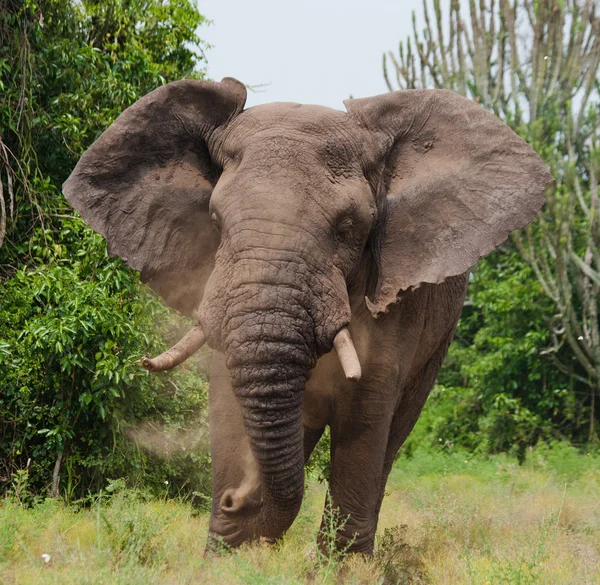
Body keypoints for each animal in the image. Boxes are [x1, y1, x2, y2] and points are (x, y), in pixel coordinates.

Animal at [62, 76, 552, 552]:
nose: (235, 498)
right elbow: (228, 406)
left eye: (348, 228)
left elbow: (365, 414)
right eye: (216, 221)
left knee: (391, 438)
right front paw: (226, 554)